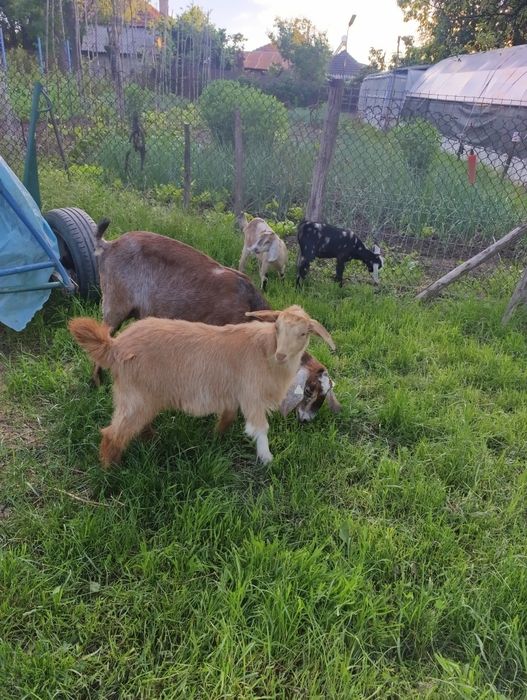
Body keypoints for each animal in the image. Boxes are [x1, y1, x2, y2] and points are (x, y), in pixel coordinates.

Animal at [69, 306, 335, 467]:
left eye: (303, 333)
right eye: (277, 327)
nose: (281, 355)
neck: (265, 351)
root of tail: (114, 346)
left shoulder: (232, 394)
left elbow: (228, 417)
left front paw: (217, 437)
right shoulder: (251, 394)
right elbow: (261, 428)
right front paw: (267, 458)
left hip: (144, 397)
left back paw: (151, 440)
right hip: (135, 396)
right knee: (113, 434)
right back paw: (111, 471)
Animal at [93, 221, 340, 422]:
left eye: (325, 394)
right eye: (309, 390)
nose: (306, 419)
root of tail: (109, 245)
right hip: (115, 303)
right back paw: (97, 383)